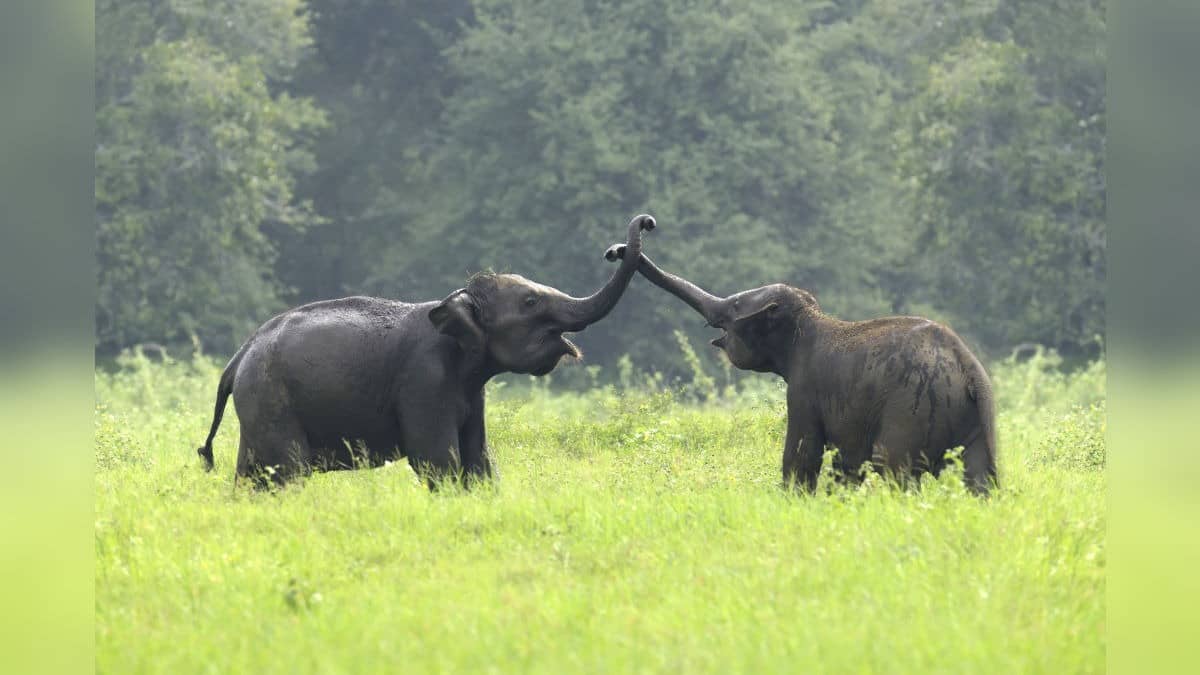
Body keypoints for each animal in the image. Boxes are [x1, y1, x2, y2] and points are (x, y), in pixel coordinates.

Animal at [195, 214, 656, 488]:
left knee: (252, 474)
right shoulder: (424, 381)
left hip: (259, 406)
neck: (452, 301)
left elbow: (479, 458)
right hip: (272, 400)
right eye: (530, 302)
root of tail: (238, 358)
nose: (644, 224)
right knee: (284, 472)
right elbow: (438, 461)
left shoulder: (471, 390)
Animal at [605, 244, 997, 494]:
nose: (616, 250)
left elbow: (802, 454)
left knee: (892, 470)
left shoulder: (804, 389)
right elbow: (845, 464)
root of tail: (968, 369)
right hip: (975, 419)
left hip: (911, 410)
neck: (811, 319)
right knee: (980, 479)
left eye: (734, 306)